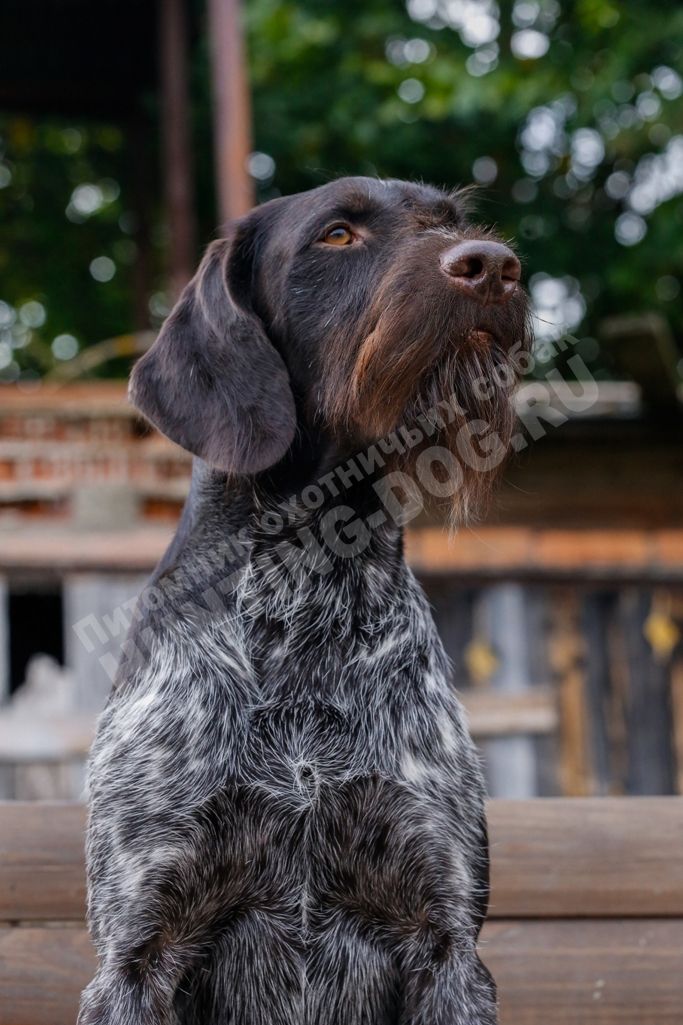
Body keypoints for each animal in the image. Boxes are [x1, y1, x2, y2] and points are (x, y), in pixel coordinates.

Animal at [79, 176, 530, 1025]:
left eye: (448, 221)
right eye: (337, 234)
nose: (493, 265)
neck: (310, 590)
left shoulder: (445, 940)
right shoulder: (138, 950)